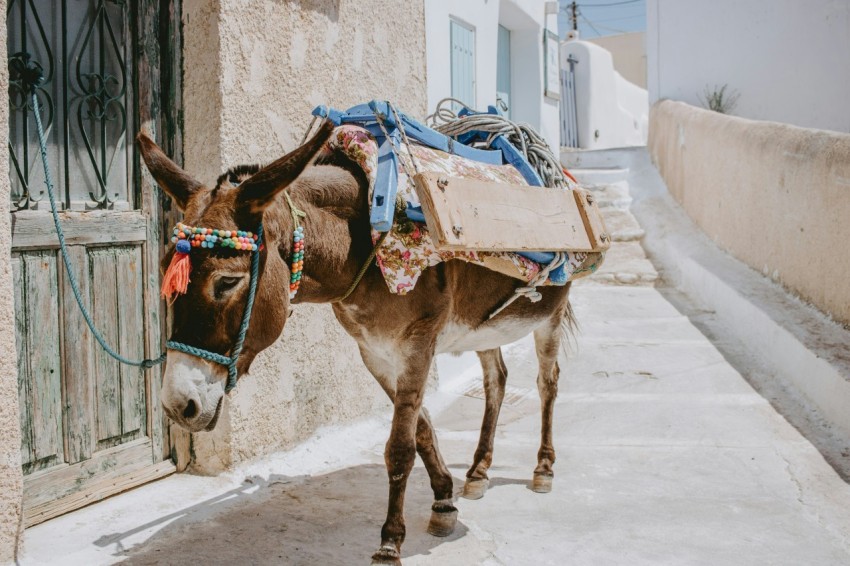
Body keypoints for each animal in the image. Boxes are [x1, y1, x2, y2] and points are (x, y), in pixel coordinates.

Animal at [138, 122, 574, 565]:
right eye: (165, 271)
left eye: (226, 281)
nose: (177, 405)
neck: (365, 241)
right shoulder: (374, 352)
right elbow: (421, 429)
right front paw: (443, 500)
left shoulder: (417, 343)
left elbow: (399, 446)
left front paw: (390, 541)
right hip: (484, 325)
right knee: (496, 381)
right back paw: (479, 472)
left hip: (551, 315)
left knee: (548, 383)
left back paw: (543, 469)